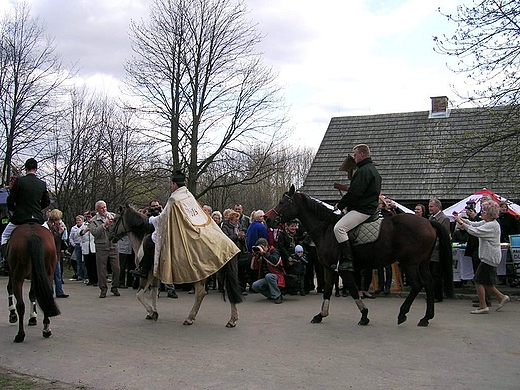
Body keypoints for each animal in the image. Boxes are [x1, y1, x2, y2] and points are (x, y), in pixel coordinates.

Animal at [109, 206, 244, 328]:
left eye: (115, 219)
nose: (111, 237)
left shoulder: (146, 273)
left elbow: (139, 295)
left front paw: (152, 312)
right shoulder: (155, 274)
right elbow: (153, 292)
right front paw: (152, 312)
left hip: (200, 274)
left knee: (200, 293)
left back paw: (190, 318)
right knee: (228, 291)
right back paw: (232, 320)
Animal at [266, 186, 452, 326]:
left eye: (282, 202)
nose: (268, 219)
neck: (326, 229)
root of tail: (428, 221)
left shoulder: (342, 269)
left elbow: (354, 289)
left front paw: (364, 314)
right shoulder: (330, 267)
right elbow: (328, 289)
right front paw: (321, 315)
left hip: (410, 263)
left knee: (417, 284)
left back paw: (402, 313)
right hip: (423, 263)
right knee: (429, 284)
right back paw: (426, 318)